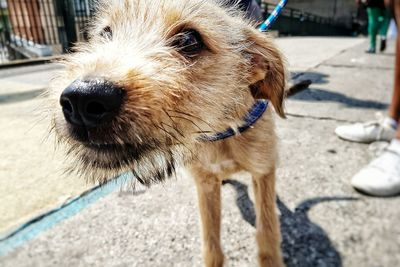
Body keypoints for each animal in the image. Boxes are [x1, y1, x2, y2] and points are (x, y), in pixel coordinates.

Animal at [50, 1, 286, 266]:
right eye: (105, 33)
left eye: (189, 40)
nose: (82, 98)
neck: (222, 131)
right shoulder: (205, 184)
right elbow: (211, 243)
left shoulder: (262, 172)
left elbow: (267, 233)